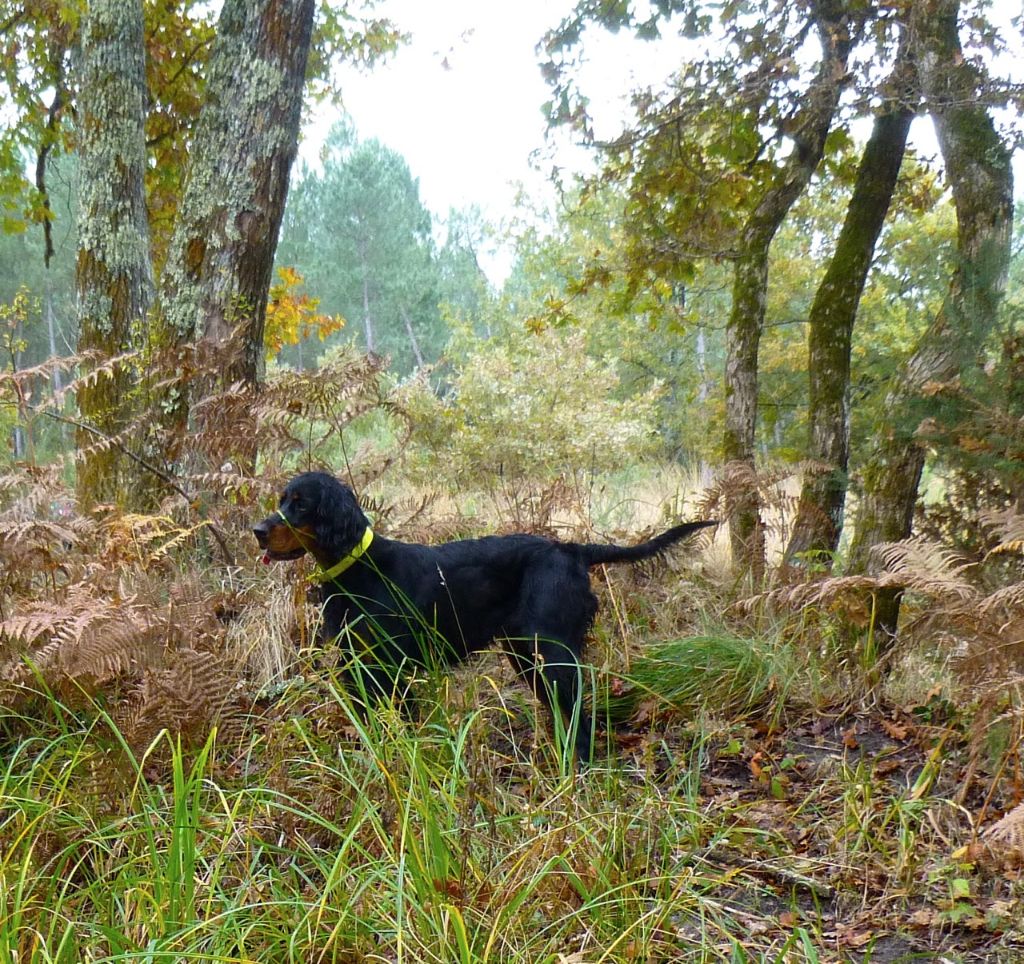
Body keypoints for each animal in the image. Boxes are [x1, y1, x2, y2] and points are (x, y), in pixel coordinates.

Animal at [252, 469, 716, 762]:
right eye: (281, 500)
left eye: (301, 504)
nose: (257, 530)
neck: (357, 569)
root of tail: (571, 549)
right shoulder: (357, 668)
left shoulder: (392, 669)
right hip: (527, 654)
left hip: (550, 651)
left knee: (579, 714)